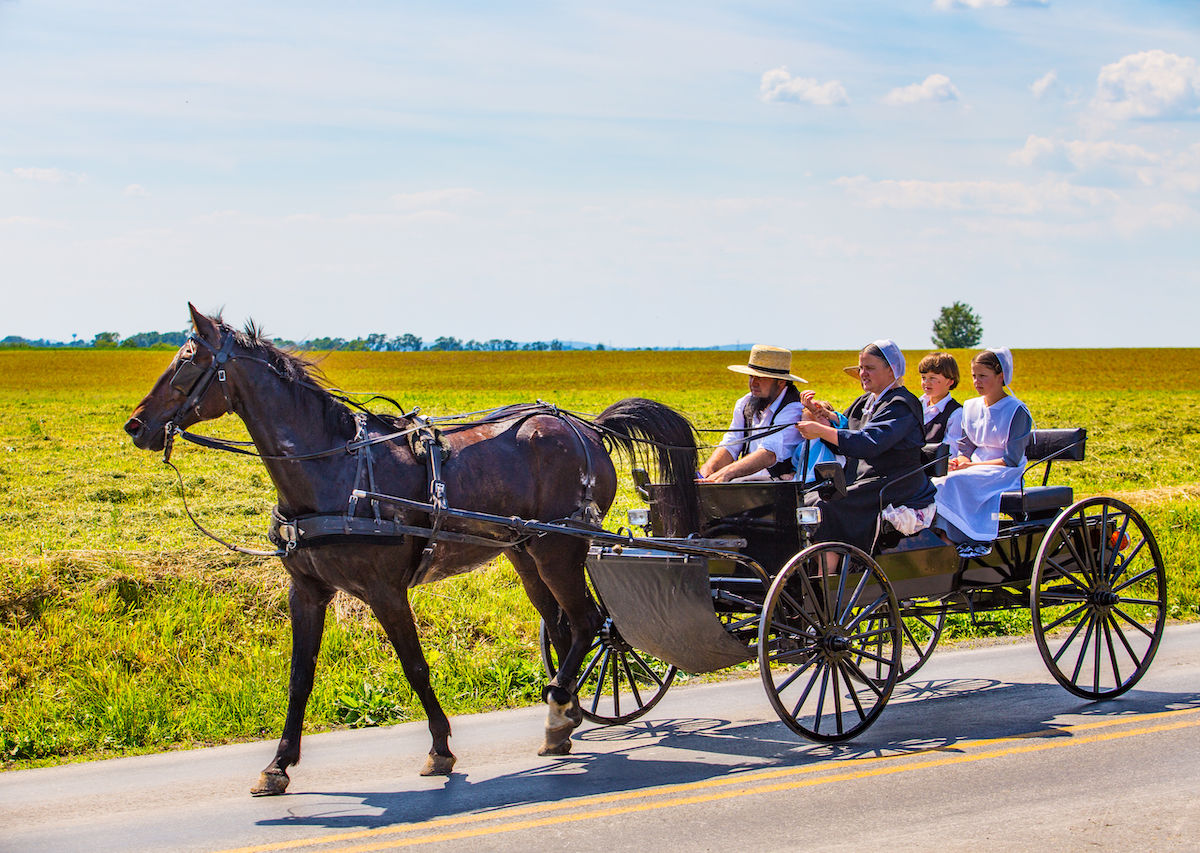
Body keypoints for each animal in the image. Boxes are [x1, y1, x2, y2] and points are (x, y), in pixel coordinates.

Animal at [125, 304, 700, 791]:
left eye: (187, 360)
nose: (135, 425)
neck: (333, 471)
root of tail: (587, 427)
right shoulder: (306, 591)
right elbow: (299, 677)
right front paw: (278, 764)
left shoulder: (385, 590)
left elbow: (415, 667)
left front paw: (440, 749)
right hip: (525, 551)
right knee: (562, 627)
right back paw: (566, 715)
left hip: (560, 547)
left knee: (589, 623)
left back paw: (560, 710)